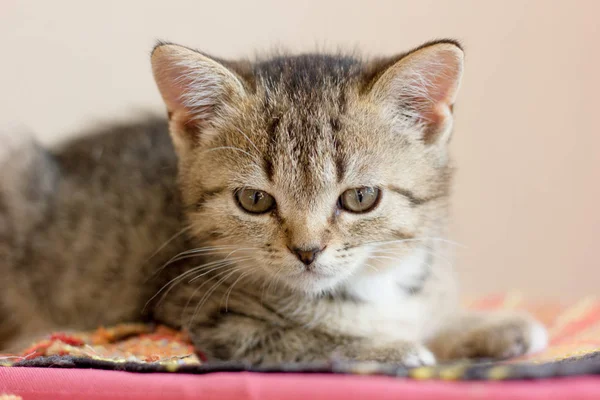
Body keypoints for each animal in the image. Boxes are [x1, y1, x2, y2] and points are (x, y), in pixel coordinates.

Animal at [0, 40, 548, 366]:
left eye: (360, 197)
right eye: (254, 200)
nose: (307, 251)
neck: (365, 290)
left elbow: (429, 315)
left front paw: (487, 326)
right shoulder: (201, 316)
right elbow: (306, 340)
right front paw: (393, 349)